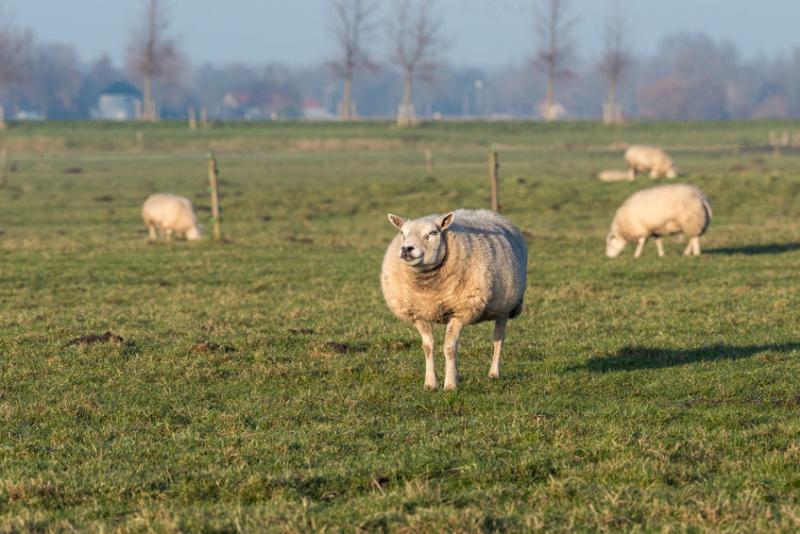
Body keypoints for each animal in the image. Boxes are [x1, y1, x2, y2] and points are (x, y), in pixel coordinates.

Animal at [382, 208, 528, 390]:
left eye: (433, 233)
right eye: (402, 232)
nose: (406, 249)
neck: (428, 289)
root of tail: (488, 212)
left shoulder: (460, 311)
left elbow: (450, 348)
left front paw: (450, 384)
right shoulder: (418, 313)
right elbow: (428, 347)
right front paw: (430, 383)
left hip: (504, 307)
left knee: (498, 340)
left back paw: (494, 373)